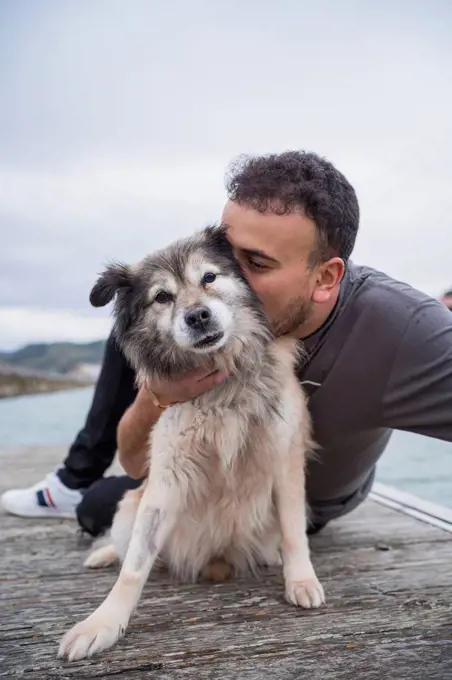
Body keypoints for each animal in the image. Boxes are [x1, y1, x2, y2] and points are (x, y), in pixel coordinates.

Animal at [59, 226, 324, 660]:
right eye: (162, 296)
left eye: (210, 278)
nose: (198, 316)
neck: (222, 383)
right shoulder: (166, 476)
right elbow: (134, 566)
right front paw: (102, 623)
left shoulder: (284, 457)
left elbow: (293, 530)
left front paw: (300, 580)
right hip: (130, 506)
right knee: (125, 544)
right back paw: (103, 553)